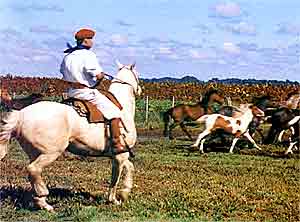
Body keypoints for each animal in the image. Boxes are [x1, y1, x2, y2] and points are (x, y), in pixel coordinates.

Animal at [0, 60, 142, 212]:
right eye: (137, 75)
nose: (140, 89)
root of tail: (20, 115)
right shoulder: (120, 156)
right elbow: (115, 179)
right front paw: (114, 199)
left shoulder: (120, 155)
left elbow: (130, 167)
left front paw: (125, 192)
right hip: (51, 153)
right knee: (33, 169)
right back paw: (45, 201)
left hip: (35, 153)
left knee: (34, 173)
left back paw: (40, 200)